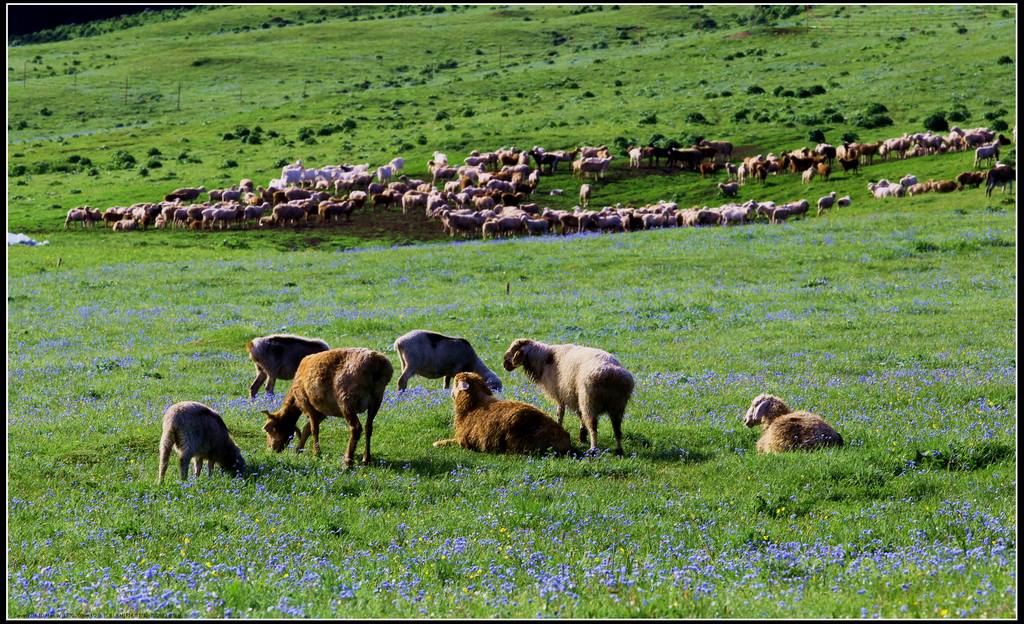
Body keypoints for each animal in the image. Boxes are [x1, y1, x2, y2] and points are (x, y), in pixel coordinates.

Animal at [262, 346, 393, 467]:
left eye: (269, 429)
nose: (271, 450)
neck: (295, 400)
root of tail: (376, 363)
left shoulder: (307, 403)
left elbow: (314, 429)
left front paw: (316, 453)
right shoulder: (322, 411)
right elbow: (306, 429)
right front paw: (299, 449)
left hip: (346, 399)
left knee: (355, 428)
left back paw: (347, 461)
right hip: (377, 398)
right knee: (368, 427)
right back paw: (366, 459)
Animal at [434, 368, 577, 452]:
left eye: (455, 383)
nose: (449, 393)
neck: (474, 405)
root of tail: (564, 437)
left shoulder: (462, 440)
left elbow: (449, 441)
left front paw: (437, 443)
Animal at [501, 338, 634, 454]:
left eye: (513, 350)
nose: (504, 364)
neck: (544, 359)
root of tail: (611, 374)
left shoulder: (561, 394)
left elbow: (560, 413)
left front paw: (560, 428)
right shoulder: (575, 396)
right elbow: (580, 416)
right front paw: (582, 436)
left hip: (589, 402)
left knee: (593, 427)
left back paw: (593, 448)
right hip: (617, 406)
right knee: (617, 429)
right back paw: (619, 450)